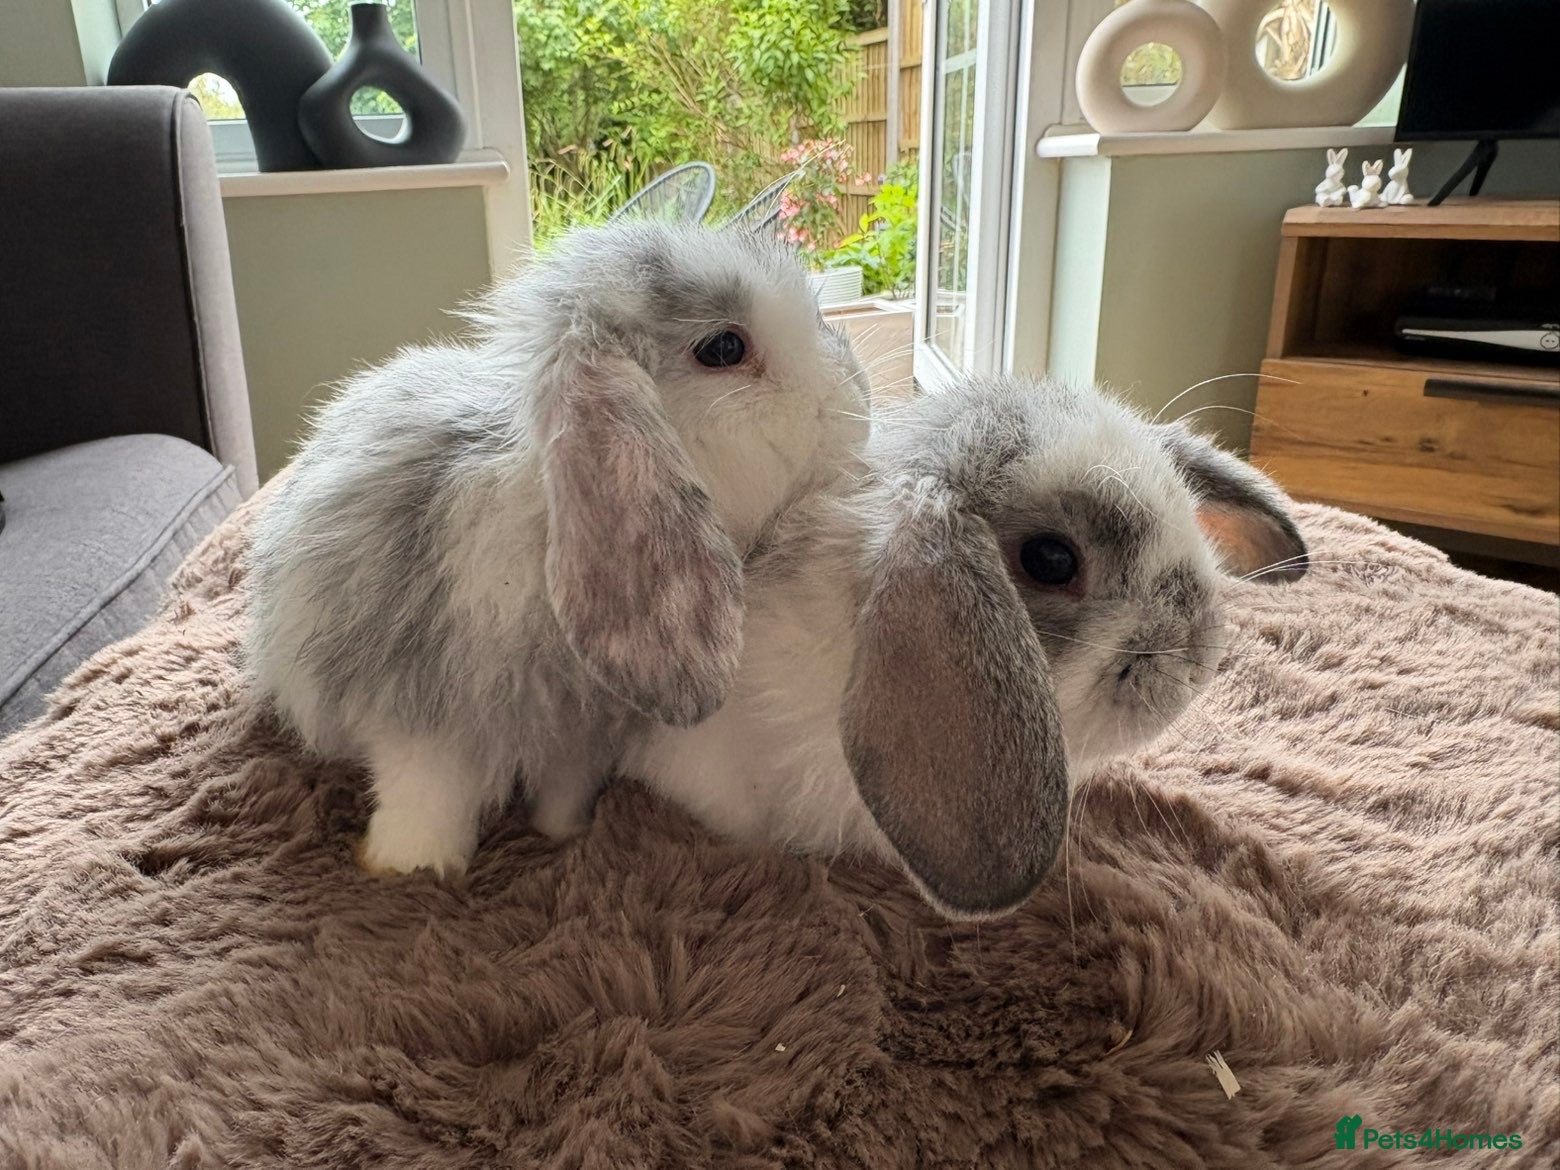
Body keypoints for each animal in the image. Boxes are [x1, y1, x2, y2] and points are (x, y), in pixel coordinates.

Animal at [245, 221, 872, 878]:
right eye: (725, 348)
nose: (859, 394)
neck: (541, 511)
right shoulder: (421, 722)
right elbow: (425, 797)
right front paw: (411, 870)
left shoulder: (579, 737)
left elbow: (564, 791)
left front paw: (564, 837)